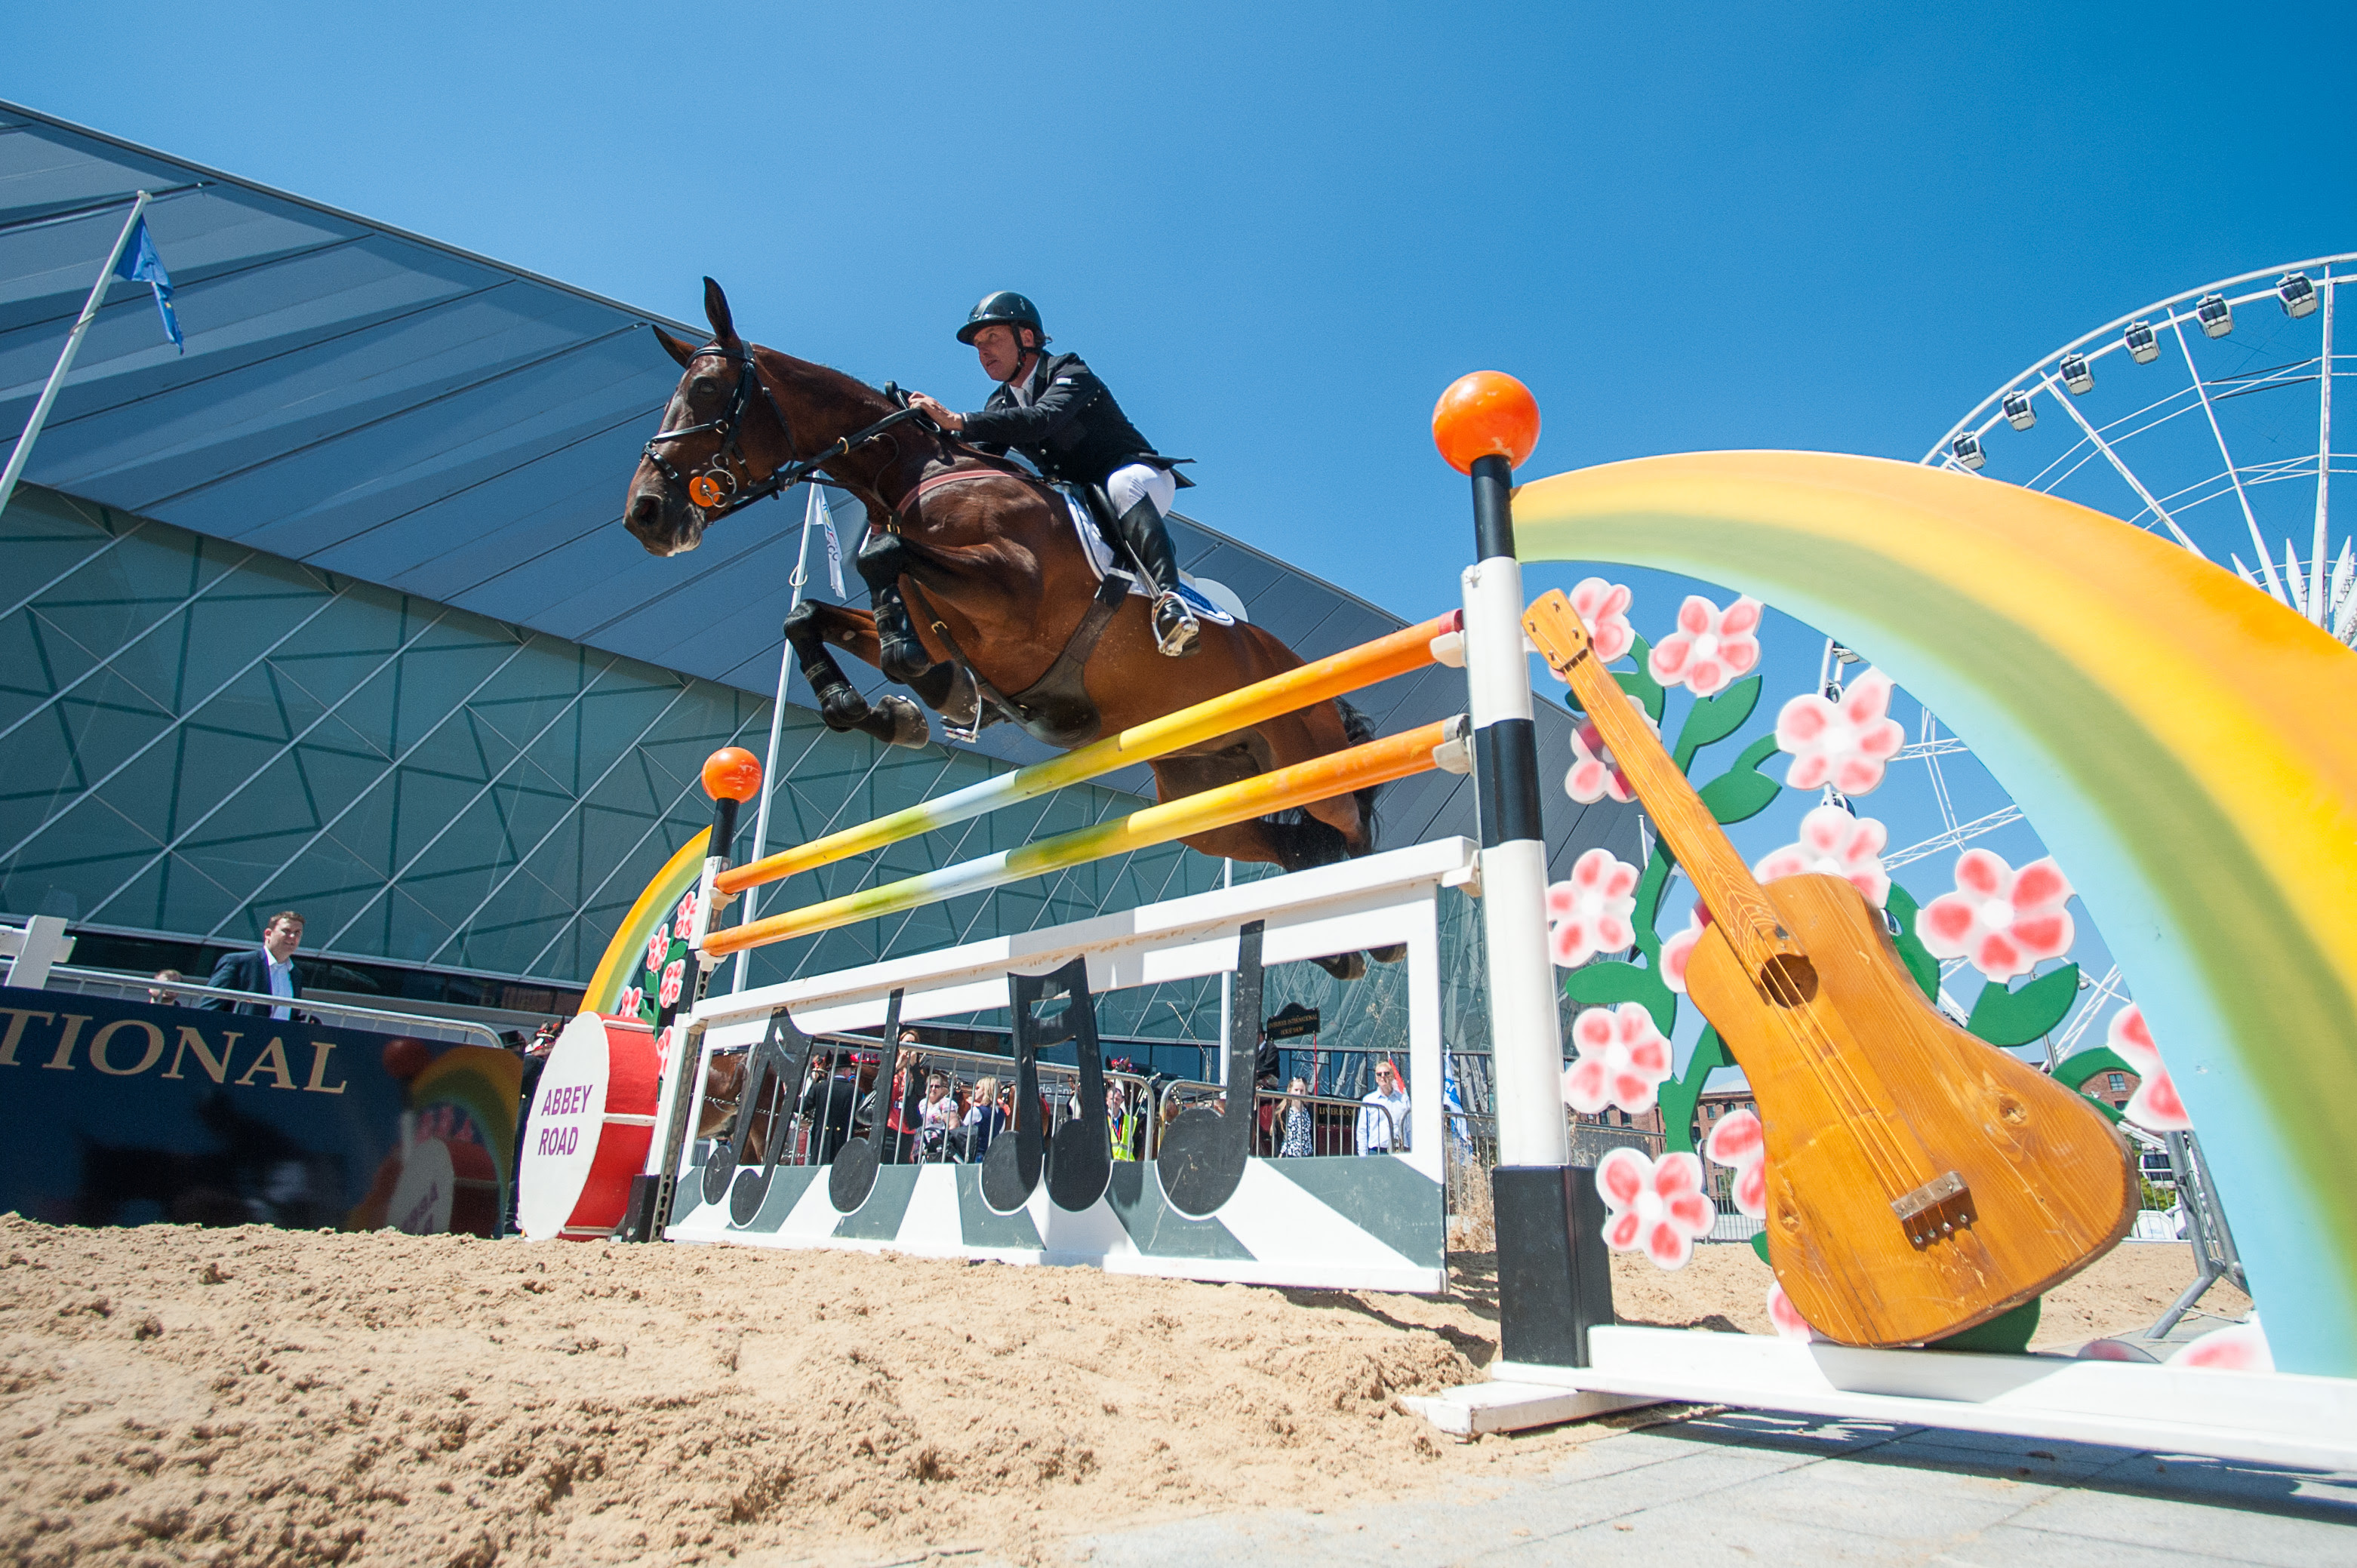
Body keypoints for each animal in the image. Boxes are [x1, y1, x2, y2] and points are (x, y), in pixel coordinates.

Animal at [623, 281, 1393, 910]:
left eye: (708, 393)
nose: (645, 515)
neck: (906, 475)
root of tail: (1299, 669)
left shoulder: (1015, 592)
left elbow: (880, 557)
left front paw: (914, 681)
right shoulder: (949, 617)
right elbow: (808, 614)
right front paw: (886, 709)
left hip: (1300, 747)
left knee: (1349, 821)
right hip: (1202, 790)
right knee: (1287, 842)